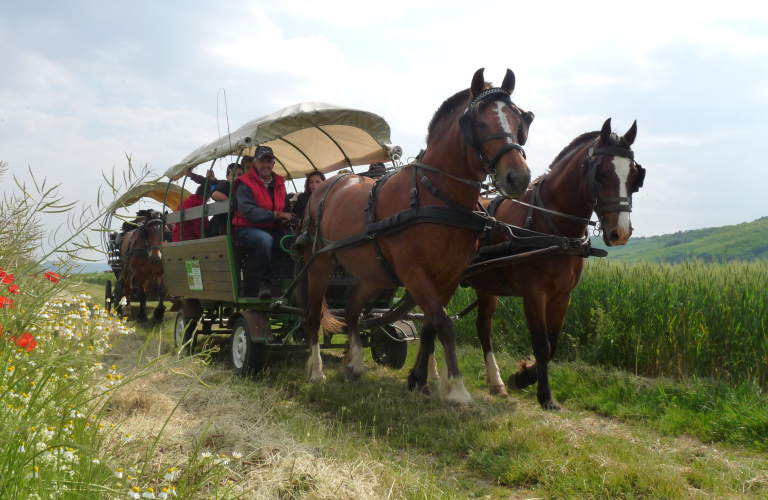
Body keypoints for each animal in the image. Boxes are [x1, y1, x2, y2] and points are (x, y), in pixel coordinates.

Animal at [300, 68, 536, 406]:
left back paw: (354, 363)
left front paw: (419, 380)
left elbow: (431, 326)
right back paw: (316, 370)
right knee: (312, 315)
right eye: (479, 123)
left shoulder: (449, 276)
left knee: (353, 309)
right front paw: (457, 389)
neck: (436, 194)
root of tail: (327, 185)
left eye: (520, 122)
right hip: (318, 263)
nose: (518, 177)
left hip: (374, 272)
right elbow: (445, 325)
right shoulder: (414, 273)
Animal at [460, 119, 644, 408]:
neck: (553, 227)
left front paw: (521, 377)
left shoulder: (562, 295)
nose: (621, 233)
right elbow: (542, 344)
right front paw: (544, 395)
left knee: (483, 327)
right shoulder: (534, 293)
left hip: (486, 286)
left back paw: (495, 382)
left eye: (635, 176)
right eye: (601, 174)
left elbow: (554, 344)